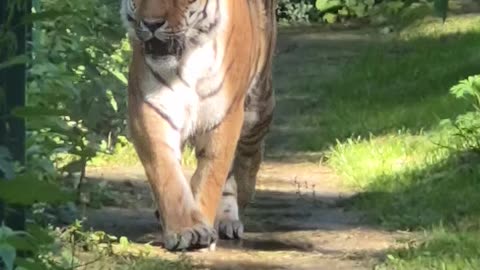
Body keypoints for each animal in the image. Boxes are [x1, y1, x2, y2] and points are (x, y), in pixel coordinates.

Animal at [120, 0, 278, 251]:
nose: (152, 24)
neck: (186, 59)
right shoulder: (150, 110)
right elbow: (167, 174)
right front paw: (187, 229)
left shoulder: (225, 116)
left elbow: (210, 176)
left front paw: (204, 229)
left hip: (260, 106)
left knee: (249, 159)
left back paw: (232, 214)